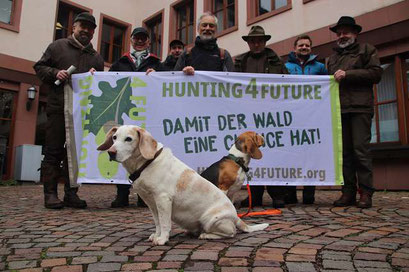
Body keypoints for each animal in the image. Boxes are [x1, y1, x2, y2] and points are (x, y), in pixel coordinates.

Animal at [96, 126, 268, 245]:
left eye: (128, 139)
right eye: (114, 137)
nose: (111, 152)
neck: (146, 164)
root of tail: (237, 218)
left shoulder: (163, 200)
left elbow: (165, 223)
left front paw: (162, 240)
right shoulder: (151, 203)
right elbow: (158, 222)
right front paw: (156, 236)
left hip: (210, 219)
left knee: (231, 233)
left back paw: (205, 235)